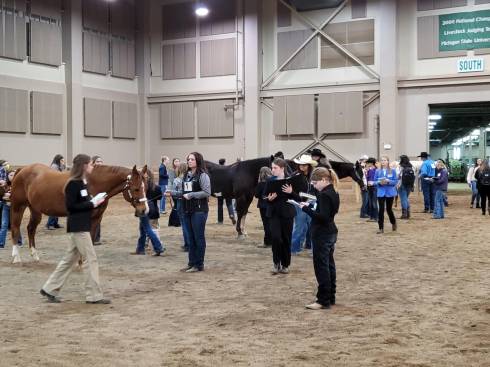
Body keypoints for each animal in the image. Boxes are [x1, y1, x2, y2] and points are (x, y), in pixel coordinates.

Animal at [9, 162, 147, 264]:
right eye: (136, 189)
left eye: (145, 187)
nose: (144, 210)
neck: (93, 183)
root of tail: (21, 170)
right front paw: (81, 262)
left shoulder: (97, 218)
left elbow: (91, 239)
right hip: (18, 207)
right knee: (15, 228)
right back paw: (16, 258)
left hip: (35, 210)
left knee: (31, 229)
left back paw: (35, 256)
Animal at [206, 156, 364, 239]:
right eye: (358, 170)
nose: (363, 186)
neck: (246, 172)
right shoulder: (241, 197)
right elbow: (240, 213)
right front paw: (240, 232)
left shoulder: (248, 197)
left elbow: (243, 213)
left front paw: (243, 231)